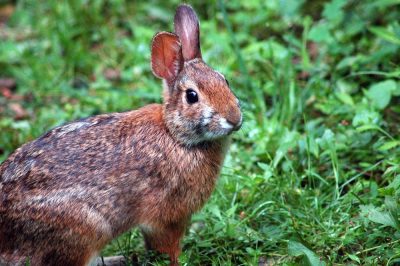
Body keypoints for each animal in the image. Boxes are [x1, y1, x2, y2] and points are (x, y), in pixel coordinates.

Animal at [0, 4, 242, 266]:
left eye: (225, 80)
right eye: (192, 96)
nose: (234, 119)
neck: (176, 136)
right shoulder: (165, 218)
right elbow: (168, 247)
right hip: (85, 229)